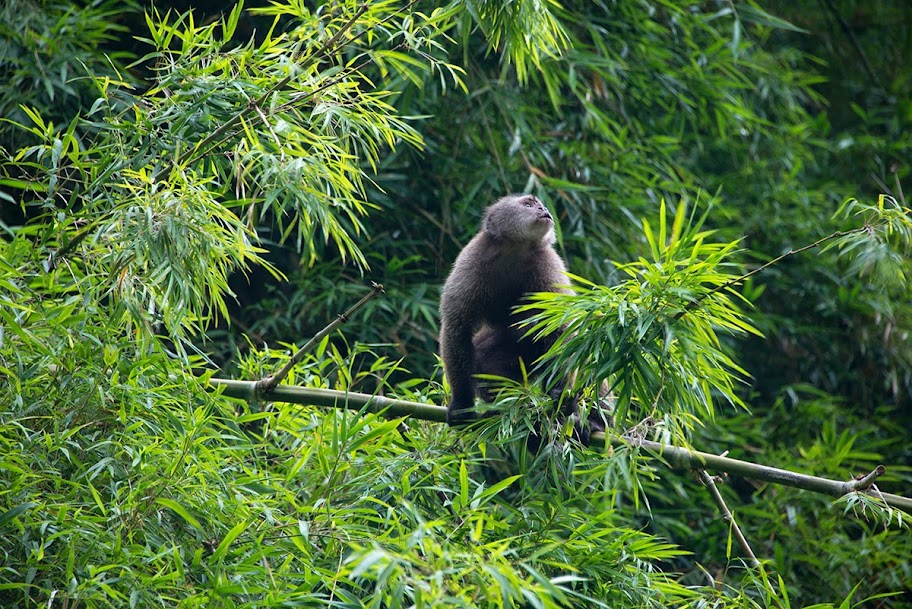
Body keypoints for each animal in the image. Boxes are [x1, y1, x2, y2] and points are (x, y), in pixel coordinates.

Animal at [438, 192, 604, 444]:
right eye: (528, 204)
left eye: (540, 204)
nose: (544, 209)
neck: (514, 251)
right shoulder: (472, 259)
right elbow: (457, 327)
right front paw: (462, 403)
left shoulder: (548, 264)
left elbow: (562, 328)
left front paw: (560, 394)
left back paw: (592, 422)